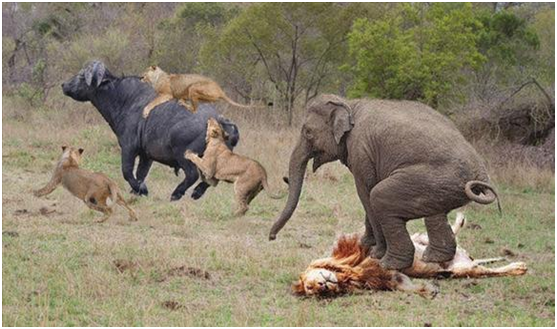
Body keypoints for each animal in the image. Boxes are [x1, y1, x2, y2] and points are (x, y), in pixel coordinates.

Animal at [61, 61, 239, 200]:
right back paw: (196, 192)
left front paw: (142, 190)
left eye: (82, 76)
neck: (125, 99)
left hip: (185, 155)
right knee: (212, 178)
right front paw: (137, 191)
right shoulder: (146, 156)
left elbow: (127, 171)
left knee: (192, 175)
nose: (64, 85)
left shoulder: (128, 148)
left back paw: (177, 194)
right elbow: (141, 174)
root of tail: (219, 120)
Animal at [268, 94, 498, 270]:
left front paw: (374, 252)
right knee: (434, 214)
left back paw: (389, 264)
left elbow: (365, 192)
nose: (271, 238)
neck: (349, 103)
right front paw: (365, 244)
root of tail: (480, 173)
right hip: (441, 185)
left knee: (379, 196)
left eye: (307, 132)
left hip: (432, 178)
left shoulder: (360, 150)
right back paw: (433, 259)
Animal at [294, 213, 528, 298]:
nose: (323, 287)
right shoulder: (391, 278)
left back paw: (460, 219)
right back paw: (518, 267)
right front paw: (429, 290)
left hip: (422, 240)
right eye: (311, 289)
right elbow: (408, 285)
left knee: (445, 236)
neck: (349, 273)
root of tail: (465, 258)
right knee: (486, 270)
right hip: (463, 270)